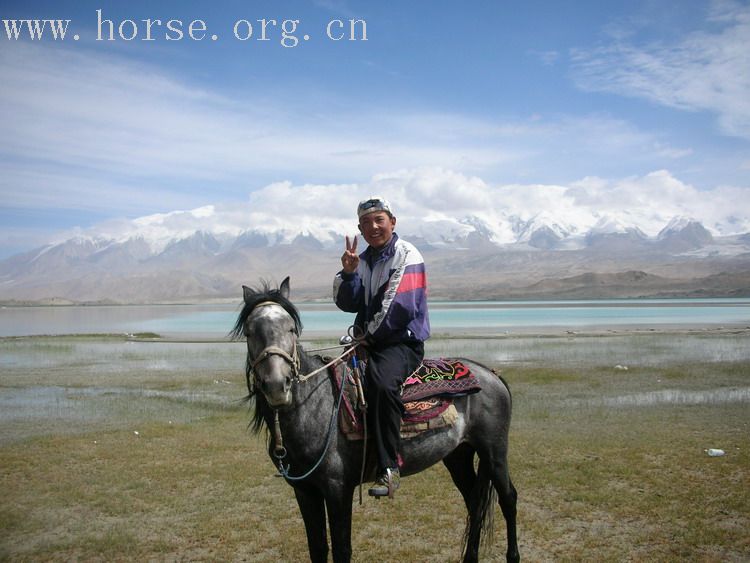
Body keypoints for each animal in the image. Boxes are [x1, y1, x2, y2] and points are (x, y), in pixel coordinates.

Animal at [232, 278, 520, 563]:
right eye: (249, 332)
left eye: (291, 329)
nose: (277, 386)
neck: (314, 405)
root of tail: (492, 375)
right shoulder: (305, 491)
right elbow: (317, 548)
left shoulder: (338, 489)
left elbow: (342, 549)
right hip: (458, 455)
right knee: (475, 502)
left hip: (493, 452)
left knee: (508, 498)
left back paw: (513, 555)